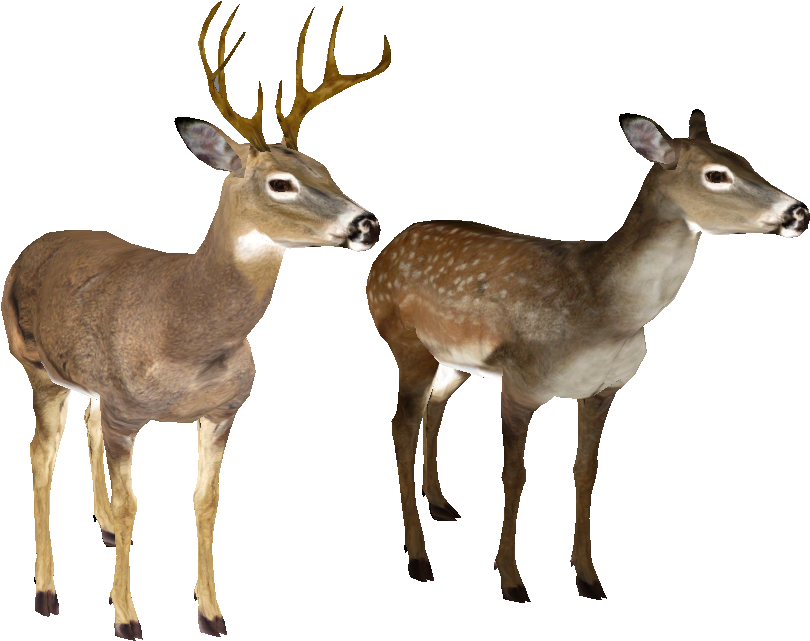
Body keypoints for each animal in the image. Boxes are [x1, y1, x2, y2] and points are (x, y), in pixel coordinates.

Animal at [3, 3, 389, 637]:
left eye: (326, 169)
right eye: (280, 182)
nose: (367, 225)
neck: (184, 329)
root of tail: (33, 247)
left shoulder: (224, 409)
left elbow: (205, 501)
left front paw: (211, 611)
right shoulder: (128, 411)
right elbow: (135, 504)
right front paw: (126, 615)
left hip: (90, 384)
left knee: (86, 421)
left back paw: (99, 529)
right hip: (35, 365)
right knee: (40, 452)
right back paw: (45, 588)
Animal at [366, 111, 806, 602]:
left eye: (746, 159)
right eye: (716, 174)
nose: (799, 212)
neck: (605, 313)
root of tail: (387, 250)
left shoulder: (603, 389)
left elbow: (586, 470)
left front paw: (588, 576)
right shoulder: (522, 383)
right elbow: (515, 474)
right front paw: (511, 578)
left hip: (456, 359)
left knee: (436, 404)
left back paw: (441, 503)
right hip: (406, 342)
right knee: (400, 426)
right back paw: (419, 557)